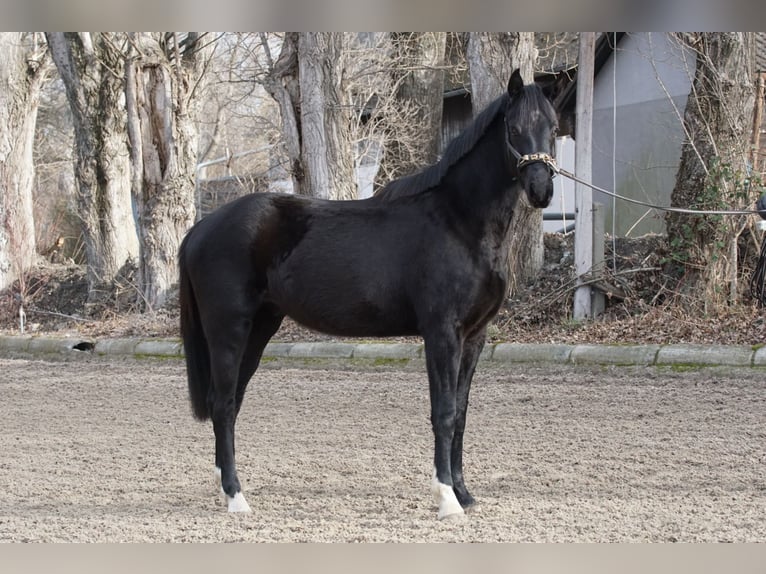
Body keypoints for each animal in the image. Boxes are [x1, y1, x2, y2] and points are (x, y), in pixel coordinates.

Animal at [179, 68, 560, 520]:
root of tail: (201, 229)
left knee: (232, 403)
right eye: (514, 128)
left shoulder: (474, 337)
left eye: (554, 127)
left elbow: (462, 414)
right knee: (222, 404)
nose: (541, 190)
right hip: (229, 330)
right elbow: (444, 412)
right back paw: (237, 499)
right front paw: (447, 499)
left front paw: (464, 493)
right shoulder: (441, 334)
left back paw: (227, 486)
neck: (460, 221)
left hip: (259, 328)